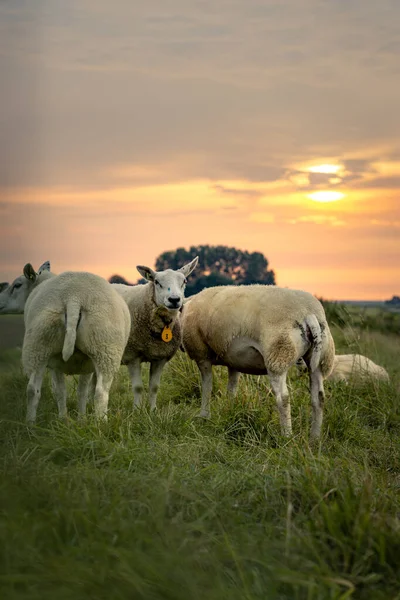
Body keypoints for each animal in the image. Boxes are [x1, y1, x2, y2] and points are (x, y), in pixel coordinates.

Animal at [0, 262, 130, 422]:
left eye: (17, 285)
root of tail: (73, 296)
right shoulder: (82, 364)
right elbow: (76, 391)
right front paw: (79, 419)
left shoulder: (62, 363)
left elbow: (66, 391)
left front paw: (73, 419)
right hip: (103, 348)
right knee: (100, 393)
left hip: (41, 345)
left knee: (33, 389)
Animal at [111, 258, 198, 412]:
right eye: (157, 282)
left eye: (184, 281)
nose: (174, 299)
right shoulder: (132, 356)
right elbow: (138, 387)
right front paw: (137, 411)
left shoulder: (160, 357)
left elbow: (154, 387)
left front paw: (152, 411)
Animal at [180, 284, 334, 438]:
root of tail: (308, 313)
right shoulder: (234, 361)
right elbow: (232, 390)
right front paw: (229, 411)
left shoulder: (202, 355)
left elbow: (207, 387)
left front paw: (204, 416)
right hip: (322, 359)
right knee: (319, 397)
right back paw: (315, 437)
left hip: (278, 355)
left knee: (283, 398)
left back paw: (286, 435)